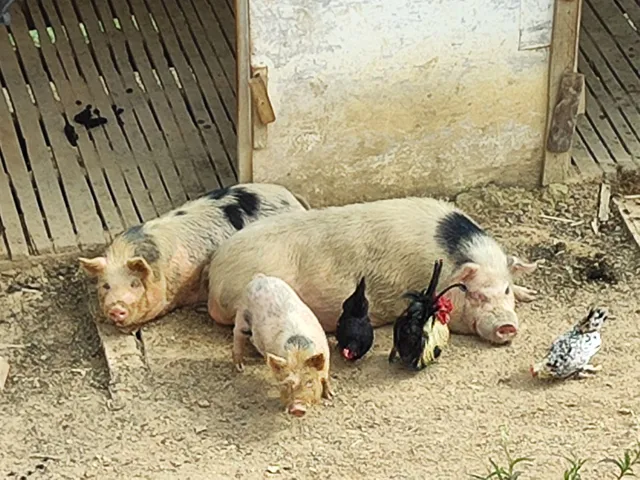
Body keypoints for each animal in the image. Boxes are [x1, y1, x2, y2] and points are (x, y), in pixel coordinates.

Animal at [233, 274, 332, 417]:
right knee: (237, 335)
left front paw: (330, 396)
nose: (297, 408)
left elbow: (325, 377)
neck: (298, 354)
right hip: (242, 314)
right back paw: (240, 368)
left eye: (309, 382)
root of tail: (260, 278)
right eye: (286, 384)